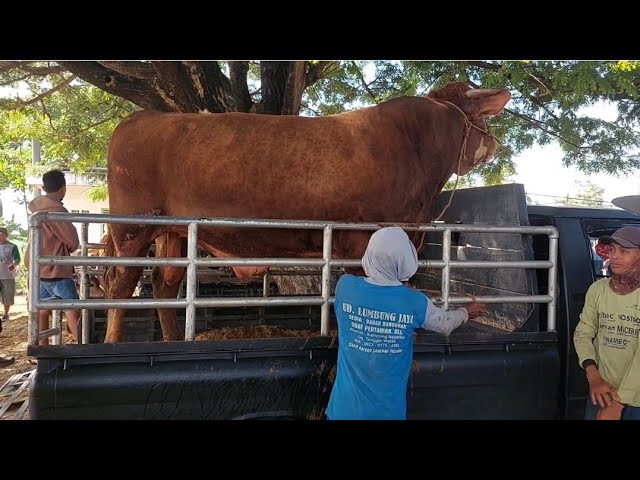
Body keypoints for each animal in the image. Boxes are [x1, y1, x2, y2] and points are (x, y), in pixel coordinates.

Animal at [104, 83, 510, 344]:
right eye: (484, 118)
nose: (494, 143)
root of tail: (141, 117)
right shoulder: (359, 241)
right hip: (132, 229)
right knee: (120, 286)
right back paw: (111, 342)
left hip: (172, 232)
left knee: (164, 285)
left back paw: (174, 339)